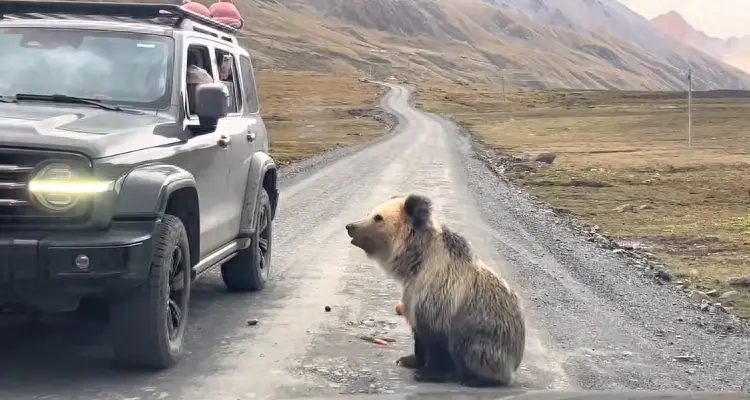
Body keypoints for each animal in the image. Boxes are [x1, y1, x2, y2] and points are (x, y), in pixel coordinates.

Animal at [346, 195, 524, 388]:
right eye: (370, 213)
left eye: (378, 217)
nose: (351, 226)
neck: (417, 263)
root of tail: (515, 362)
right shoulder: (412, 296)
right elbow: (419, 335)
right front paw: (409, 360)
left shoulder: (440, 298)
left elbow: (437, 342)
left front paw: (429, 373)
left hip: (488, 338)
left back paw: (474, 379)